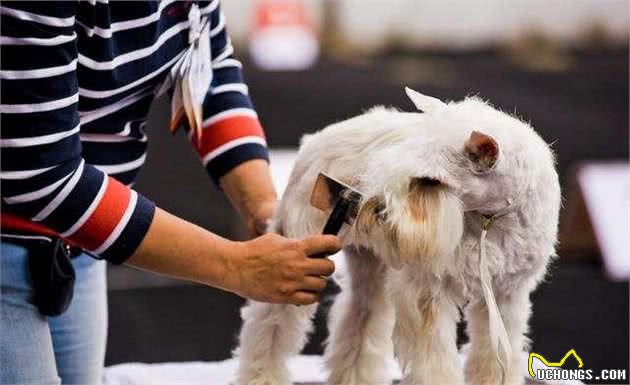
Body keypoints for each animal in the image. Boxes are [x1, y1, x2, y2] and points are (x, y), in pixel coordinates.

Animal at [236, 88, 564, 384]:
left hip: (369, 269)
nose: (375, 209)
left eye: (430, 181)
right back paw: (262, 376)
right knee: (270, 328)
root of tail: (313, 140)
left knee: (359, 320)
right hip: (296, 253)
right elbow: (435, 364)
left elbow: (493, 360)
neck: (490, 220)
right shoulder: (429, 297)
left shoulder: (506, 295)